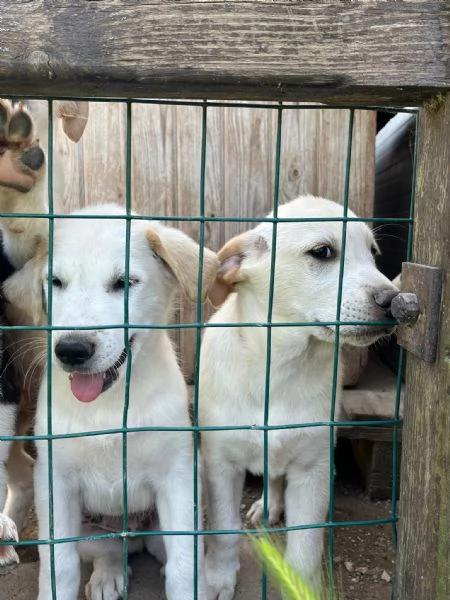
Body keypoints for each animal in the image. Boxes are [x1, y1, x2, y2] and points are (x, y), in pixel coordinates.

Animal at [4, 205, 220, 600]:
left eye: (124, 283)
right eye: (55, 282)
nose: (72, 350)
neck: (107, 405)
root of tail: (132, 534)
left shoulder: (178, 478)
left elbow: (184, 565)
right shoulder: (55, 483)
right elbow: (60, 565)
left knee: (168, 553)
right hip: (89, 529)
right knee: (107, 552)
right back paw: (107, 578)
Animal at [199, 195, 400, 596]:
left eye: (373, 253)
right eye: (323, 252)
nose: (396, 301)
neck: (280, 366)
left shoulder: (313, 469)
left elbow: (305, 548)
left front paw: (301, 587)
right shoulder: (220, 465)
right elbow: (225, 532)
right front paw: (217, 578)